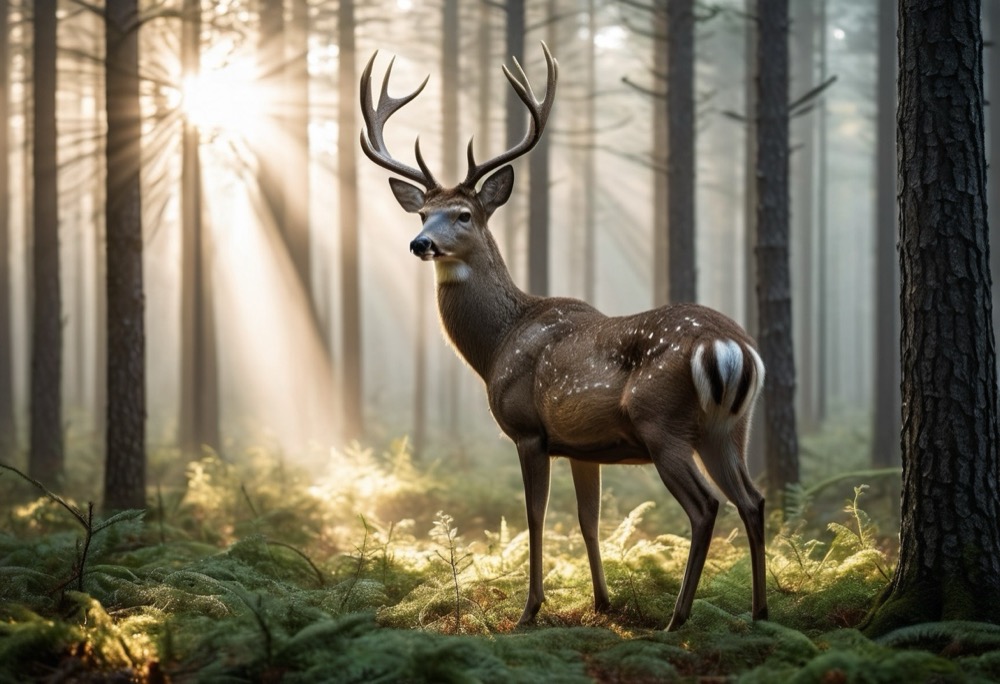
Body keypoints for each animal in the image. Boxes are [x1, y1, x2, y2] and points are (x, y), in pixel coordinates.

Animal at [360, 42, 768, 632]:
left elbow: (534, 517)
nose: (420, 244)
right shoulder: (583, 445)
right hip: (730, 428)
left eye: (463, 214)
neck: (496, 347)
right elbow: (587, 519)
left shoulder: (529, 430)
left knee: (706, 507)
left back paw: (677, 619)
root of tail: (731, 348)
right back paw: (760, 612)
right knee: (753, 501)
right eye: (422, 213)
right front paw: (602, 601)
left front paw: (530, 609)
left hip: (663, 423)